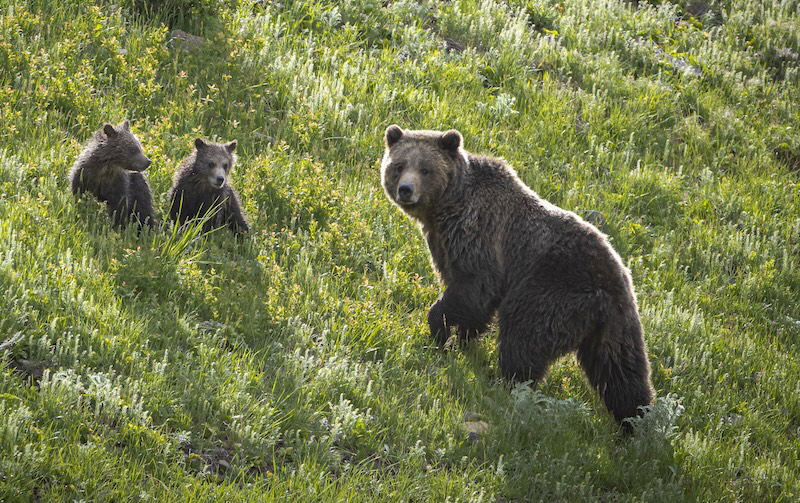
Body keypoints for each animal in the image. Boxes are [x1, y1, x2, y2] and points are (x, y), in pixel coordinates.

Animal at [382, 126, 656, 426]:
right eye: (399, 165)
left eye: (425, 169)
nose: (406, 189)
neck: (444, 209)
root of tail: (616, 278)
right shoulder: (442, 242)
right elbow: (470, 302)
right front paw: (460, 338)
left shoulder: (479, 234)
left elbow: (473, 288)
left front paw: (440, 330)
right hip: (614, 326)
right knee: (621, 371)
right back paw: (635, 419)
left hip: (550, 292)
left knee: (523, 338)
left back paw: (508, 385)